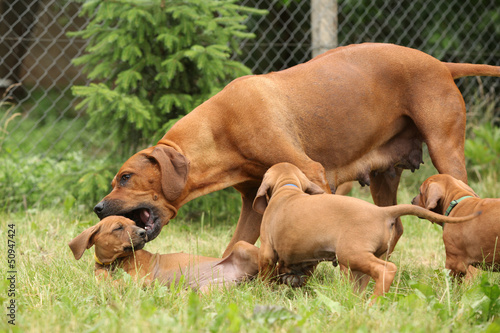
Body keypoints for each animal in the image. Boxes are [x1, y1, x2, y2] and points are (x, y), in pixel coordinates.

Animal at [93, 42, 500, 255]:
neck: (221, 129)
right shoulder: (251, 204)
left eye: (125, 177)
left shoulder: (312, 173)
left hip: (445, 149)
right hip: (385, 174)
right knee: (394, 224)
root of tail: (440, 64)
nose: (97, 208)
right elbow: (234, 246)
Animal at [254, 162, 480, 300]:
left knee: (387, 270)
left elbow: (265, 275)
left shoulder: (266, 251)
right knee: (364, 284)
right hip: (360, 261)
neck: (287, 188)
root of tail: (382, 212)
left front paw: (261, 292)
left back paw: (374, 303)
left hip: (352, 254)